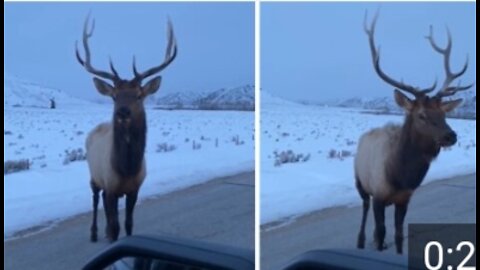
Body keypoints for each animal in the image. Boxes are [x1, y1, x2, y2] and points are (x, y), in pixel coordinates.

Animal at [76, 14, 177, 243]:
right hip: (94, 175)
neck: (126, 168)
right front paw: (110, 236)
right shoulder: (110, 185)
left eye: (139, 95)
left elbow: (128, 223)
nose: (122, 112)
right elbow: (115, 226)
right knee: (95, 199)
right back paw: (94, 233)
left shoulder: (134, 189)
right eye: (114, 96)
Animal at [356, 11, 472, 254]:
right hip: (360, 183)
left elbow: (399, 235)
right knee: (364, 211)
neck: (399, 176)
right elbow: (381, 232)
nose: (451, 136)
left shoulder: (405, 198)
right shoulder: (378, 195)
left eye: (444, 114)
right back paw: (360, 242)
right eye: (421, 115)